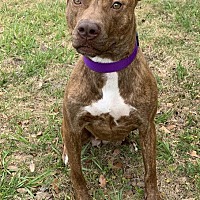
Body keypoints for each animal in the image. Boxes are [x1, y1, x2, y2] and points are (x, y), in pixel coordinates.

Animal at [61, 0, 162, 199]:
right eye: (77, 1)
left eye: (116, 4)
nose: (87, 29)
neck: (107, 67)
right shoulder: (73, 125)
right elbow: (77, 174)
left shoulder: (147, 126)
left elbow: (150, 170)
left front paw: (153, 193)